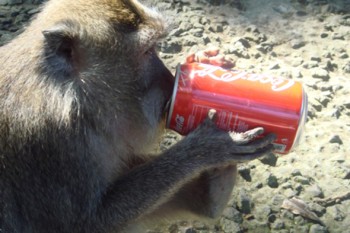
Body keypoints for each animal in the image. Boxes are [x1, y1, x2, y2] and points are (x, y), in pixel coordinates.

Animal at [0, 0, 276, 233]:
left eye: (156, 48)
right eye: (146, 51)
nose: (170, 80)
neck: (79, 102)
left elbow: (203, 205)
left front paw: (208, 64)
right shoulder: (50, 144)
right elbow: (87, 224)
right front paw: (208, 148)